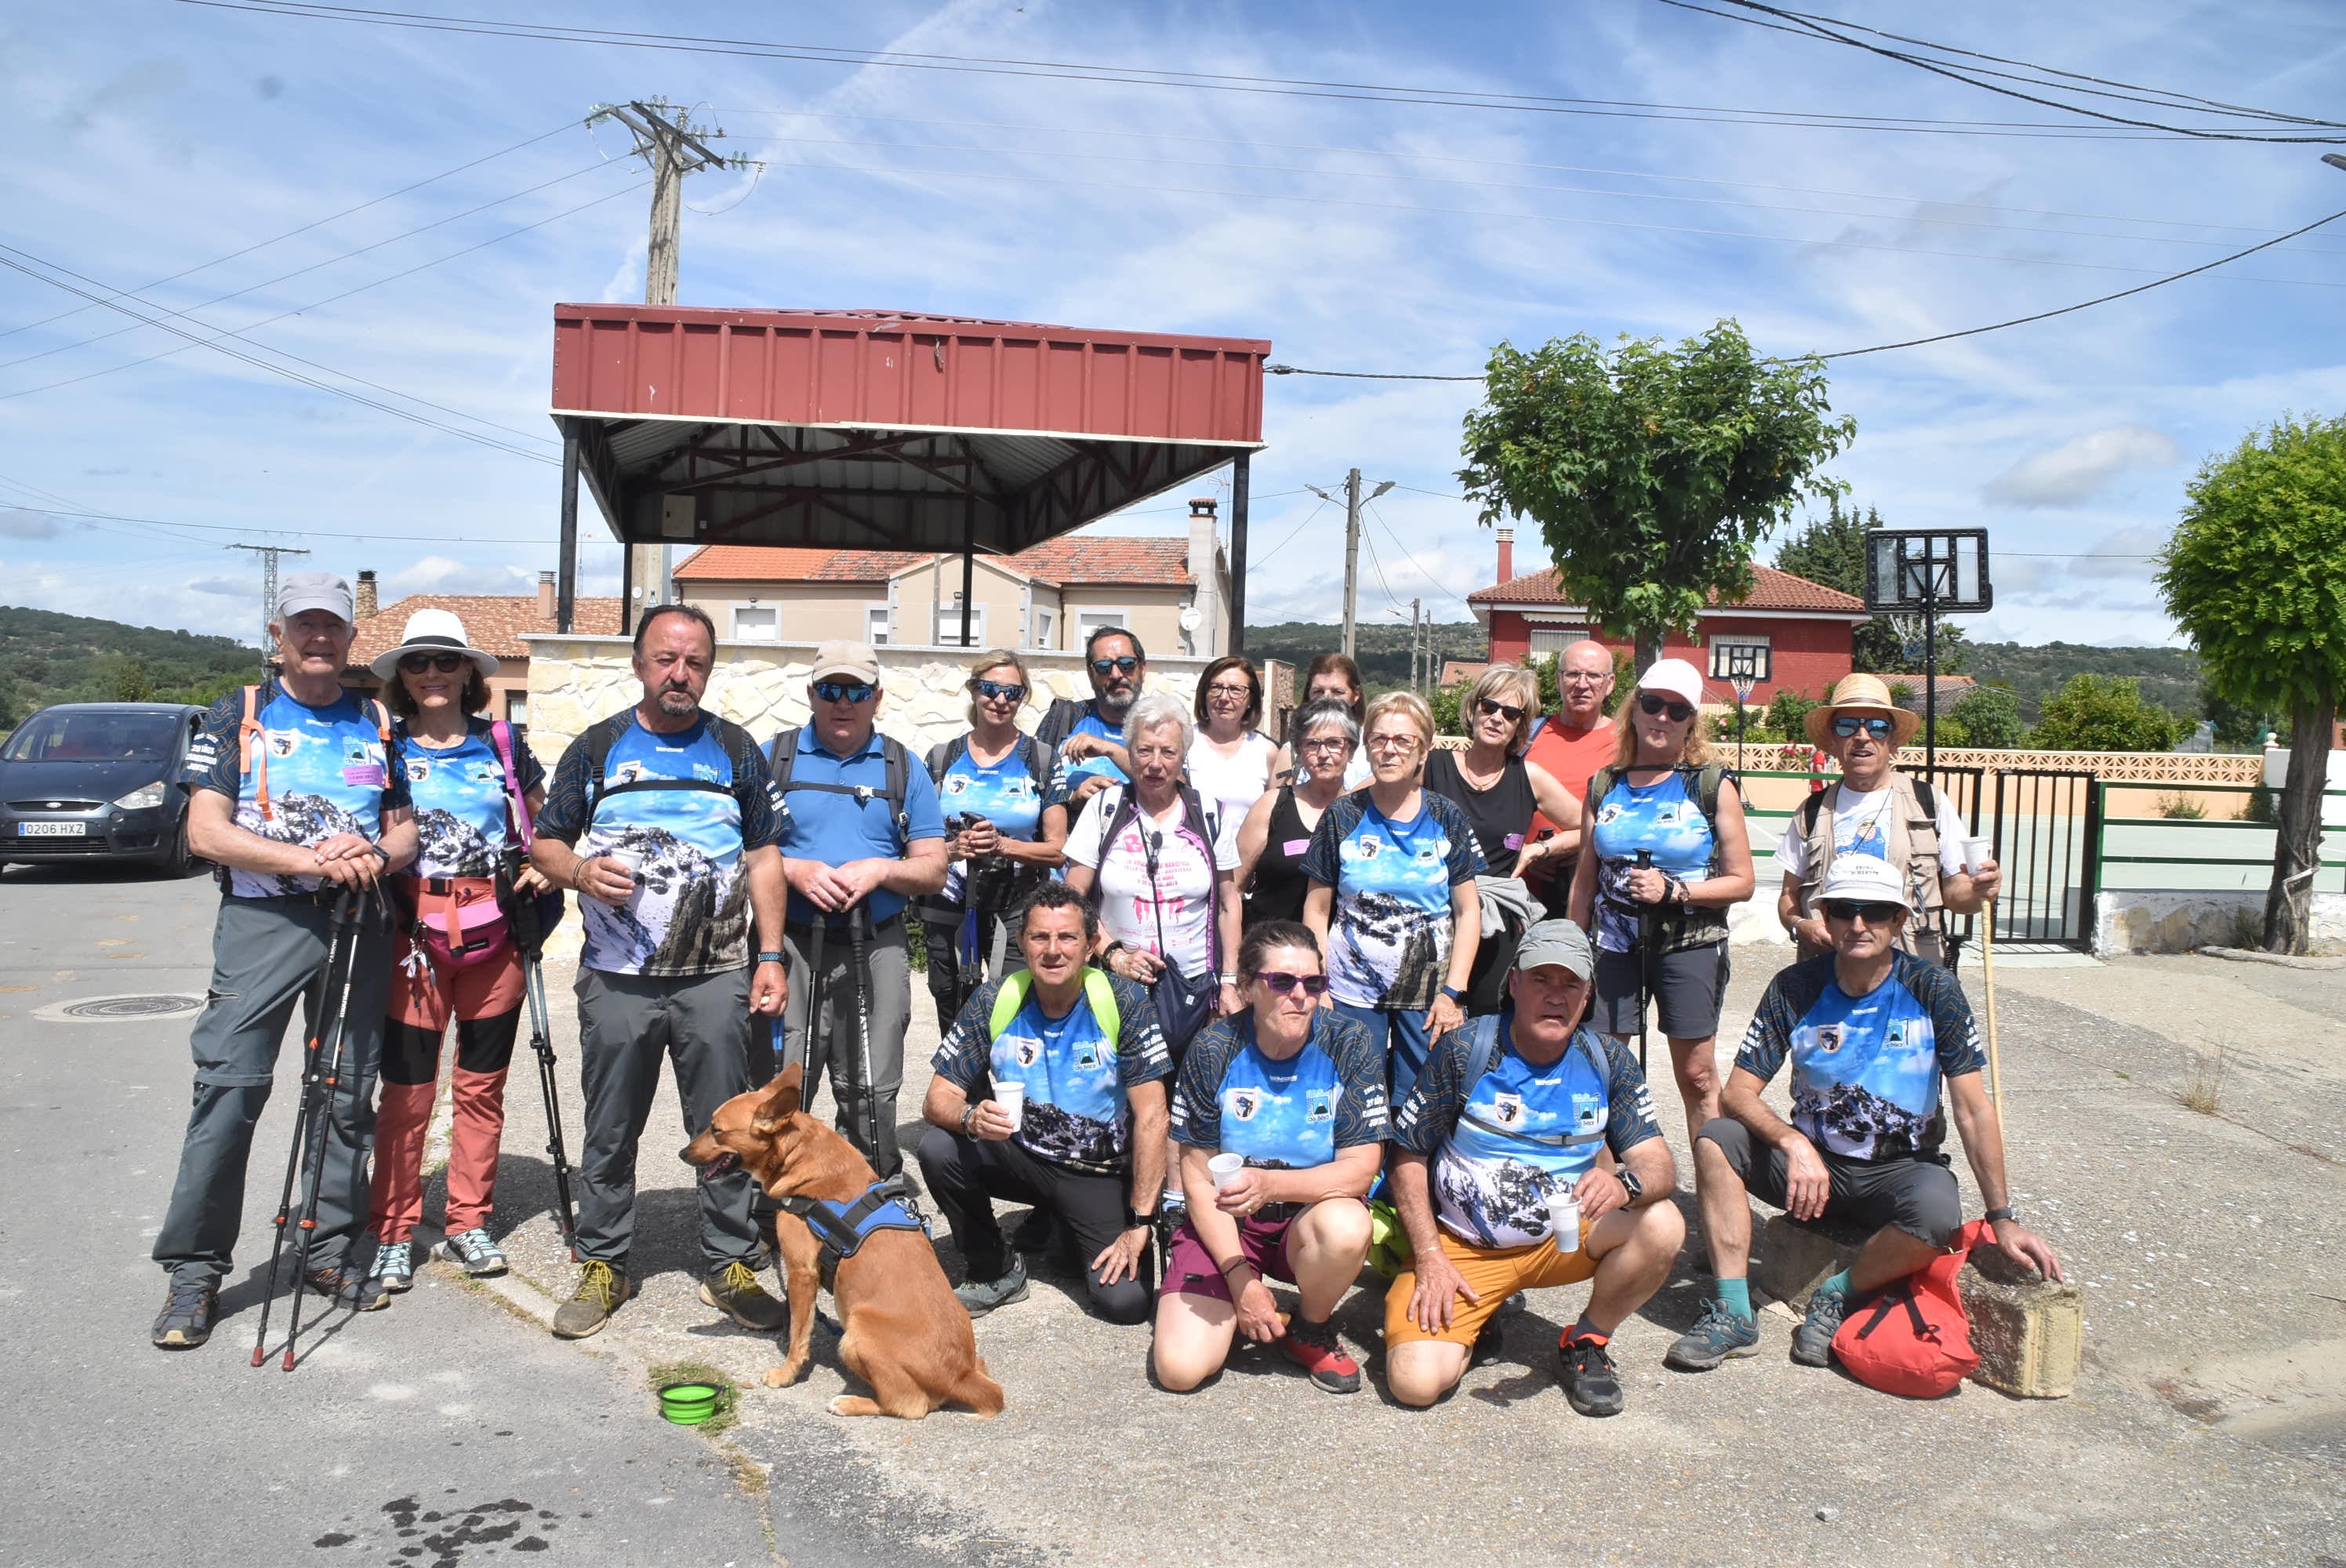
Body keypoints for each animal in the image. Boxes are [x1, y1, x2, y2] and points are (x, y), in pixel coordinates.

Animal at [685, 1065, 1004, 1417]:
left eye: (717, 1130)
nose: (683, 1153)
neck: (799, 1154)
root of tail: (960, 1374)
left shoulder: (802, 1272)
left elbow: (799, 1334)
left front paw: (787, 1374)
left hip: (856, 1333)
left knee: (908, 1404)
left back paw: (850, 1402)